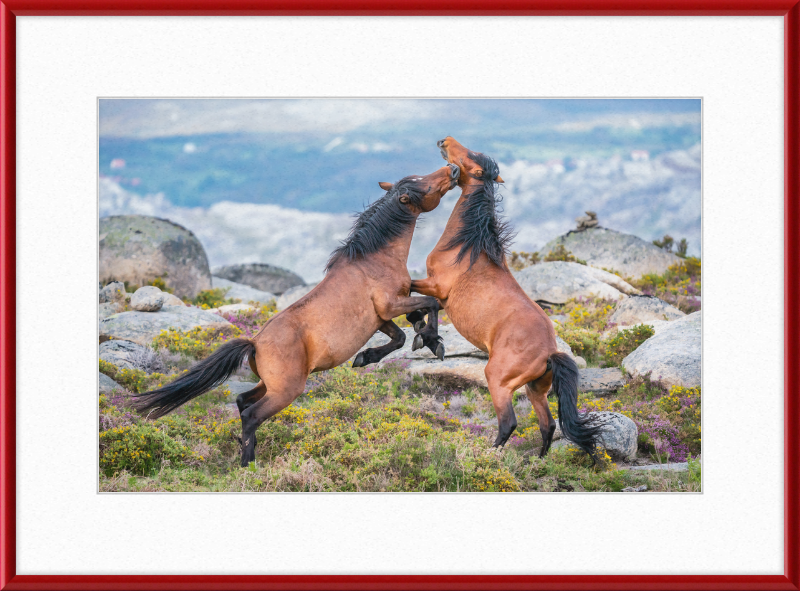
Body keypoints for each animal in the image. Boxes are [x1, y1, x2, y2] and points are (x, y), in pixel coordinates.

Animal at [130, 162, 456, 468]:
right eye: (424, 185)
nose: (452, 169)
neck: (375, 259)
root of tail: (255, 343)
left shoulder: (380, 317)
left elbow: (401, 334)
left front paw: (369, 356)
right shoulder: (390, 305)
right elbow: (431, 304)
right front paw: (433, 342)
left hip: (269, 385)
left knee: (241, 401)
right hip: (286, 391)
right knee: (251, 414)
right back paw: (248, 465)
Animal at [410, 138, 596, 458]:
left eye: (469, 157)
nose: (444, 141)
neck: (467, 247)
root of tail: (550, 353)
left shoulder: (435, 286)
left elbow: (414, 297)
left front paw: (427, 339)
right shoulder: (440, 295)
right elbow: (425, 308)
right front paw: (428, 340)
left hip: (498, 381)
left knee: (509, 422)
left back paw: (488, 455)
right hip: (535, 390)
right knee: (548, 425)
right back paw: (538, 461)